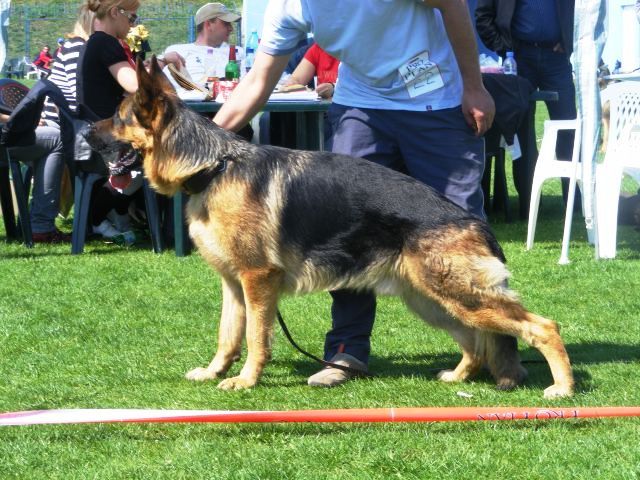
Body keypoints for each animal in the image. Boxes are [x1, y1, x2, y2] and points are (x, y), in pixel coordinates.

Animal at [86, 59, 576, 398]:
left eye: (119, 117)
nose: (84, 133)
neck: (211, 166)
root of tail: (472, 219)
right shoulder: (233, 285)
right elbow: (228, 336)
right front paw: (214, 372)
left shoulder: (257, 281)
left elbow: (255, 338)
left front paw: (246, 381)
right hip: (433, 300)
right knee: (475, 342)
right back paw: (457, 376)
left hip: (459, 296)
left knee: (542, 326)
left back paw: (563, 388)